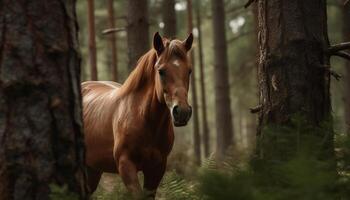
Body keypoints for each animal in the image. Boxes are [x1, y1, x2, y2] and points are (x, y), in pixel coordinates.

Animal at [82, 32, 194, 198]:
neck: (143, 118)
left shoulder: (156, 168)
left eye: (189, 71)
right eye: (161, 71)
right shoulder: (126, 165)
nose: (182, 112)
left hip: (93, 170)